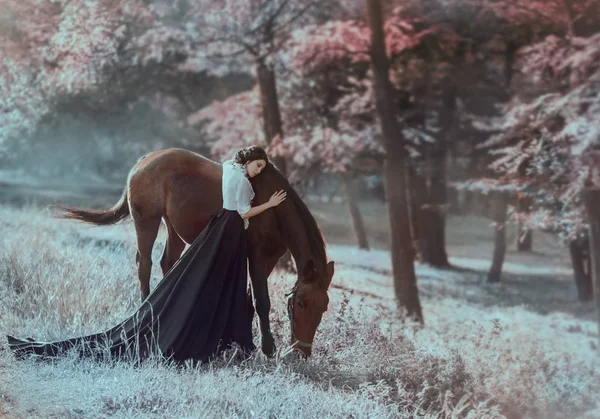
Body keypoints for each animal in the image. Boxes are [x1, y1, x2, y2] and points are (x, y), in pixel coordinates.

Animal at [54, 148, 336, 358]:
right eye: (300, 303)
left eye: (323, 307)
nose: (301, 352)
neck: (274, 211)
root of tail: (143, 161)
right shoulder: (256, 256)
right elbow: (262, 301)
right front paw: (265, 348)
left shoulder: (269, 259)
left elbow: (249, 297)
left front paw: (244, 342)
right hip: (147, 223)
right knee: (144, 264)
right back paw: (146, 310)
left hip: (173, 229)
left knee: (167, 263)